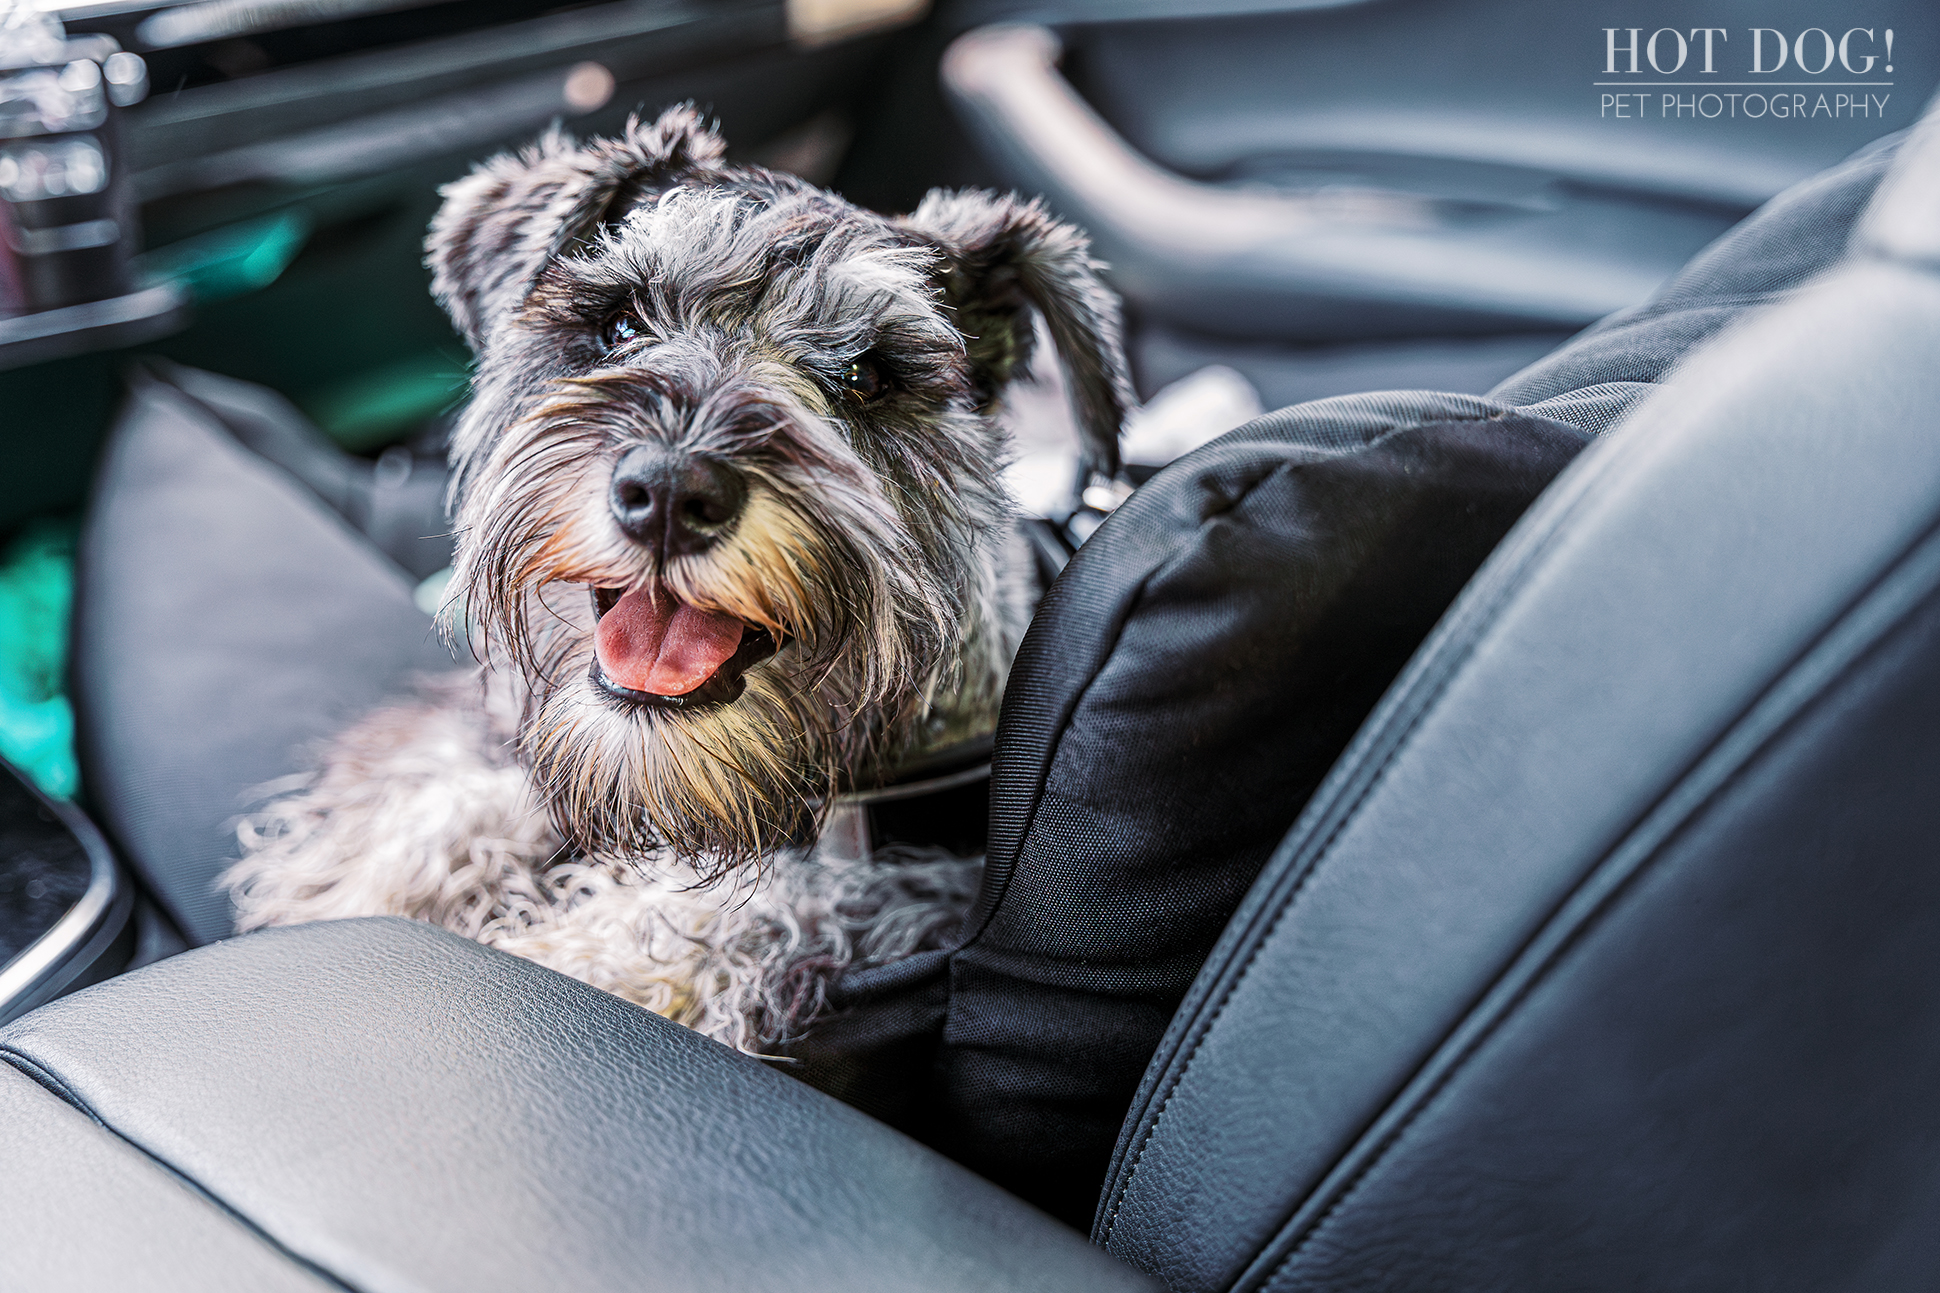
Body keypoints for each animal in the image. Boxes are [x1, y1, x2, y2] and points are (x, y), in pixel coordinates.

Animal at [225, 108, 1132, 1048]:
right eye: (622, 323)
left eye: (869, 374)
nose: (667, 491)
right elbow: (467, 798)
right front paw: (352, 885)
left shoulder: (910, 884)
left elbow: (736, 918)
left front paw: (561, 955)